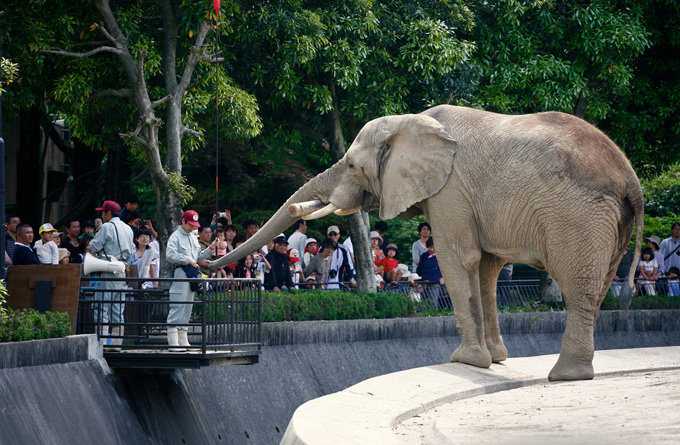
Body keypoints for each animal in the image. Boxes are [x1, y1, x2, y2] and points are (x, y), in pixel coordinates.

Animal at [211, 105, 644, 382]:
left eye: (350, 165)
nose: (204, 263)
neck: (411, 121)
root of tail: (632, 181)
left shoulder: (451, 189)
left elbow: (459, 259)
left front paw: (466, 361)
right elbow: (487, 269)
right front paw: (494, 359)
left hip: (579, 217)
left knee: (579, 288)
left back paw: (565, 376)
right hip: (604, 221)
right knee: (598, 287)